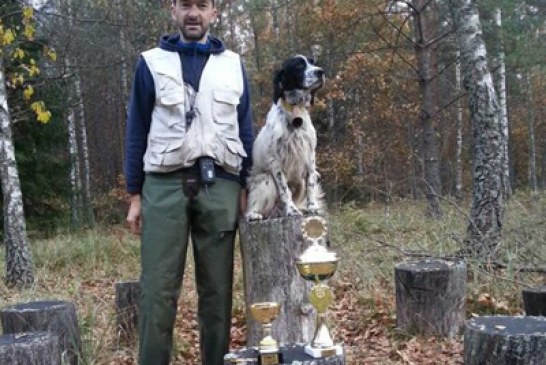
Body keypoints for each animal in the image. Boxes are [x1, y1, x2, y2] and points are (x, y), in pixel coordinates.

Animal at [245, 53, 324, 219]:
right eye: (299, 65)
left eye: (313, 62)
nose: (321, 72)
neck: (294, 111)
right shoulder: (275, 160)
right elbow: (284, 189)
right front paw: (291, 209)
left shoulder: (310, 155)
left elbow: (311, 185)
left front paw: (313, 207)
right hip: (265, 179)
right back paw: (254, 214)